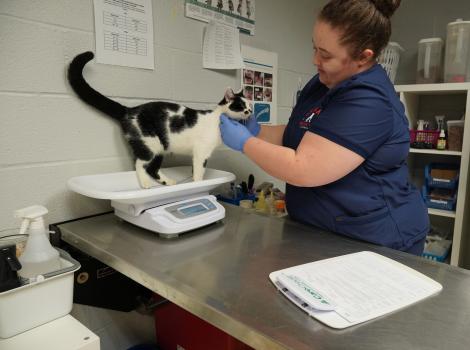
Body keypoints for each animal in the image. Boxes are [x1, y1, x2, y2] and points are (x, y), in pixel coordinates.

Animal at [68, 50, 252, 189]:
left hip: (159, 148)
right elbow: (199, 171)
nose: (249, 111)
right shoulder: (201, 152)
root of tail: (129, 110)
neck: (216, 119)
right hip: (150, 144)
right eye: (240, 105)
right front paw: (198, 184)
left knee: (152, 168)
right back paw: (145, 184)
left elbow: (194, 170)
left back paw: (168, 182)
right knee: (140, 164)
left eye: (250, 105)